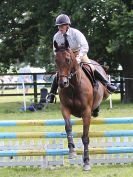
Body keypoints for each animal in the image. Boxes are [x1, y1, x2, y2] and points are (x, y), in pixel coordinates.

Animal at [53, 39, 109, 171]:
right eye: (56, 60)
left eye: (68, 60)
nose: (63, 83)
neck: (74, 86)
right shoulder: (65, 109)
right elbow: (68, 128)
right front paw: (72, 151)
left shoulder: (86, 112)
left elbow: (85, 137)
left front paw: (87, 162)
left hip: (105, 92)